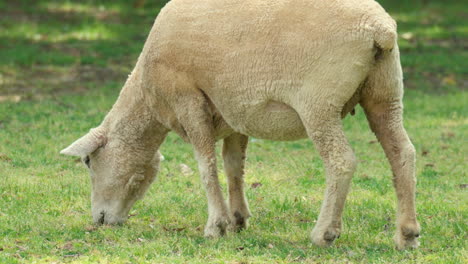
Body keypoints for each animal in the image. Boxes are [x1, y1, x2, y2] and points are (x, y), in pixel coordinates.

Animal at [61, 0, 420, 250]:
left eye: (88, 161)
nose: (100, 221)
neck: (149, 101)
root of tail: (379, 29)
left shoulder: (188, 99)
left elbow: (206, 166)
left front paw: (215, 226)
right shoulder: (234, 112)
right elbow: (233, 166)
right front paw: (237, 220)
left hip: (319, 103)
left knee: (341, 162)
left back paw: (324, 233)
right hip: (385, 94)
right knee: (403, 155)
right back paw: (407, 234)